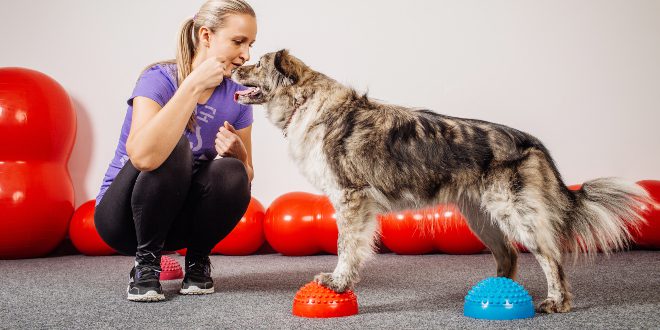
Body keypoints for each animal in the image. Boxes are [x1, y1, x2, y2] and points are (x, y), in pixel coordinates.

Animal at [231, 49, 648, 312]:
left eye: (257, 63)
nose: (234, 68)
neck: (307, 102)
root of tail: (532, 142)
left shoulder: (350, 199)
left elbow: (346, 248)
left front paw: (337, 283)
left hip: (515, 213)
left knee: (551, 256)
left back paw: (558, 302)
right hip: (481, 216)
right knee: (509, 256)